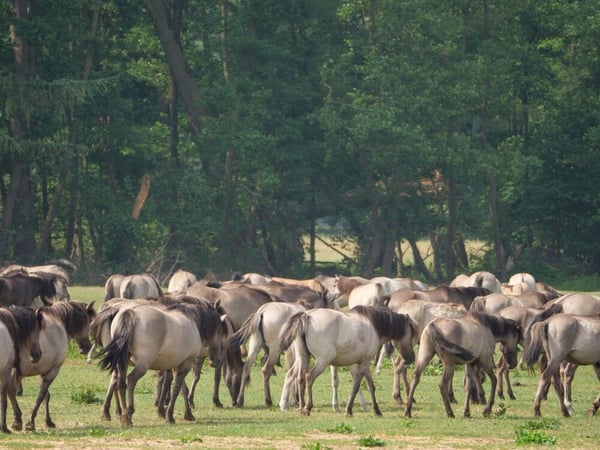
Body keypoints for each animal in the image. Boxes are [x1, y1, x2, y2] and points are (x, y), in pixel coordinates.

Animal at [10, 300, 96, 430]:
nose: (87, 347)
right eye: (88, 321)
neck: (59, 321)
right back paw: (17, 420)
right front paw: (31, 422)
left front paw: (48, 421)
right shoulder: (53, 370)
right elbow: (41, 396)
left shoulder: (43, 371)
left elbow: (46, 396)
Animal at [98, 300, 230, 424]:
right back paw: (128, 414)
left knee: (120, 382)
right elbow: (176, 388)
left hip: (123, 360)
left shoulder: (177, 365)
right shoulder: (187, 363)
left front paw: (188, 414)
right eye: (221, 332)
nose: (217, 361)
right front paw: (170, 416)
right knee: (130, 380)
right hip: (142, 363)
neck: (194, 321)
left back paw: (121, 414)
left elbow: (182, 389)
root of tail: (130, 313)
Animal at [278, 304, 414, 416]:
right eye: (412, 334)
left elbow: (370, 386)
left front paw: (376, 410)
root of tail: (307, 315)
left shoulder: (362, 364)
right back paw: (307, 408)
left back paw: (301, 408)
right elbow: (357, 386)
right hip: (322, 361)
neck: (373, 326)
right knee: (309, 378)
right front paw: (349, 410)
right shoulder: (364, 363)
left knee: (300, 379)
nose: (411, 357)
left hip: (304, 358)